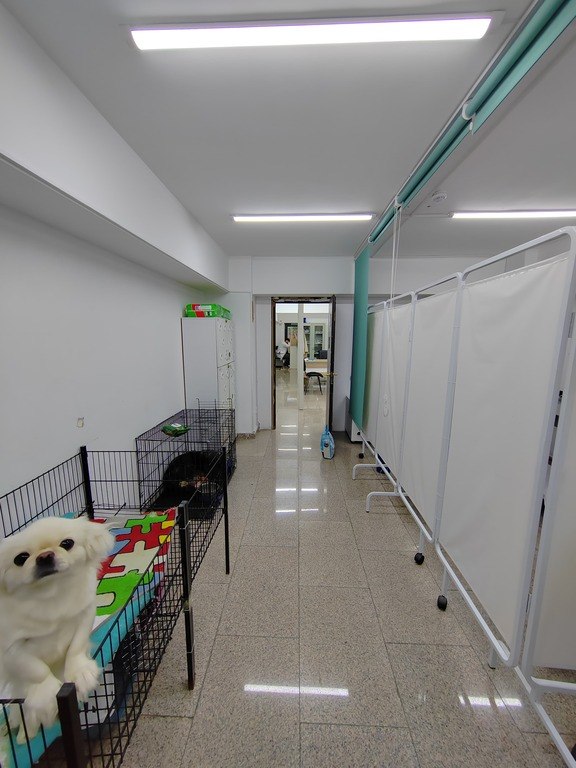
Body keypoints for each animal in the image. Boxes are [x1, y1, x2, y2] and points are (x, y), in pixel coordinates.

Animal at [0, 515, 113, 743]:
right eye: (20, 558)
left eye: (67, 543)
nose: (44, 556)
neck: (51, 595)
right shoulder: (10, 647)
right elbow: (34, 668)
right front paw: (46, 695)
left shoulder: (85, 615)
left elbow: (75, 648)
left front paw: (81, 674)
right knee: (23, 718)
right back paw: (19, 734)